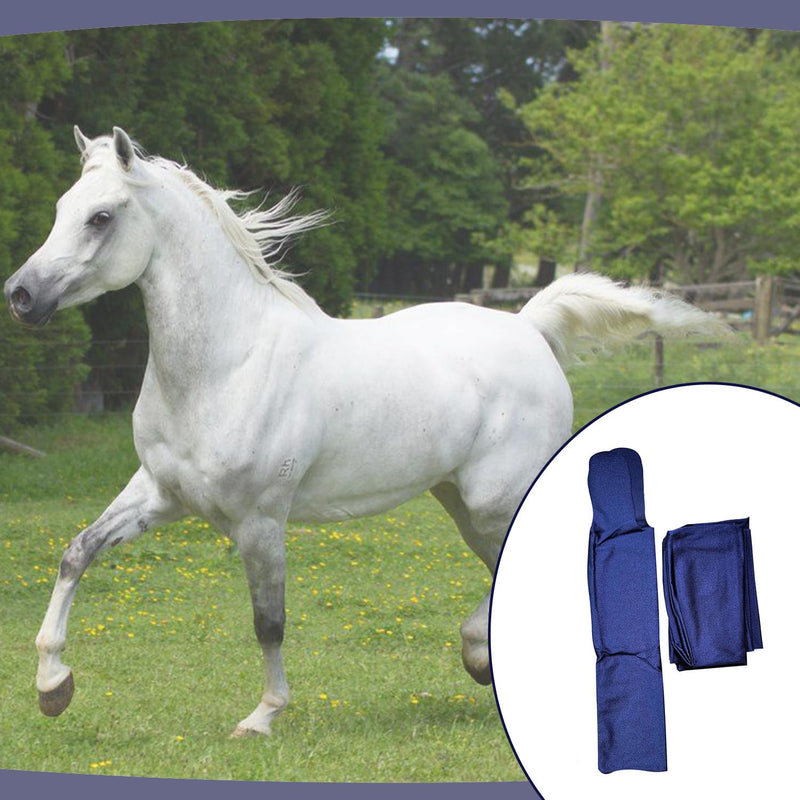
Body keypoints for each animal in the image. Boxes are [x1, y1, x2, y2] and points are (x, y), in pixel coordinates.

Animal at [4, 127, 724, 737]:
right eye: (63, 206)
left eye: (101, 216)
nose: (21, 296)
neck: (227, 364)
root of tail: (527, 328)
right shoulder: (160, 494)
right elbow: (76, 552)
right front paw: (52, 685)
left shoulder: (260, 521)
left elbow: (269, 622)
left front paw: (262, 718)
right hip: (462, 503)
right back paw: (486, 661)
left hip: (494, 501)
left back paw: (484, 658)